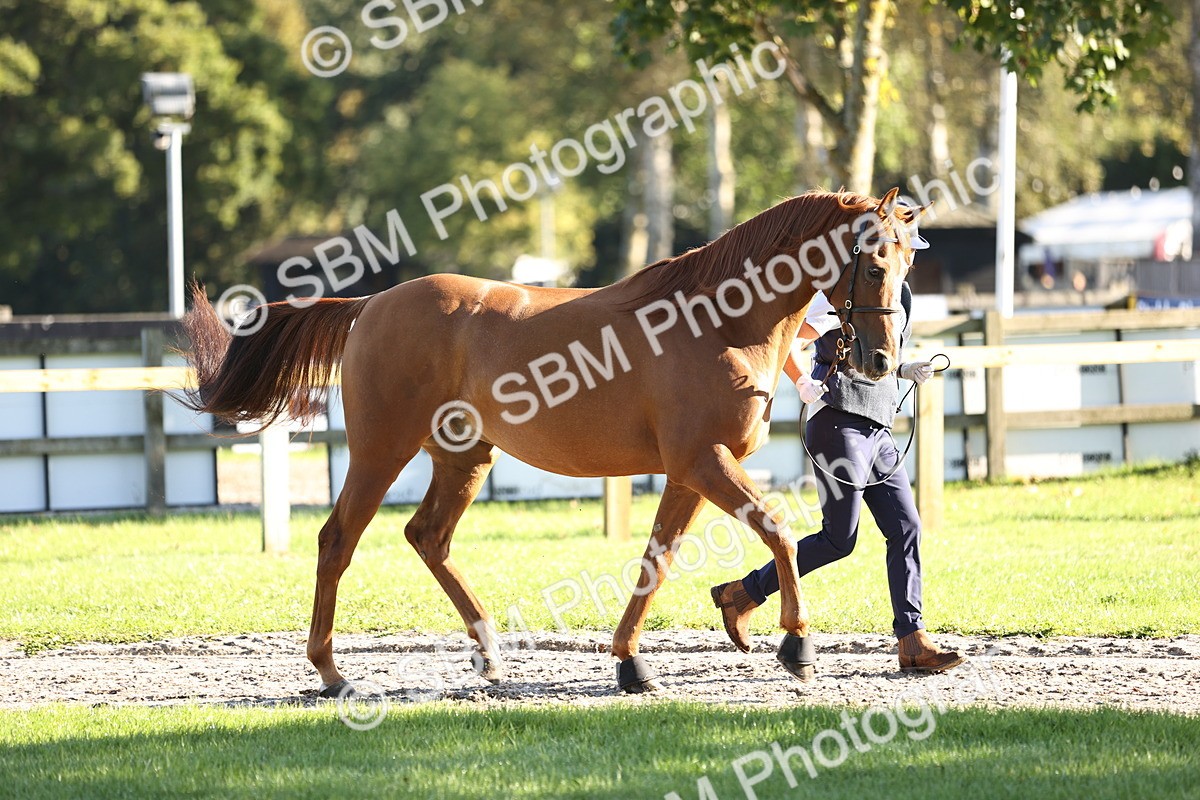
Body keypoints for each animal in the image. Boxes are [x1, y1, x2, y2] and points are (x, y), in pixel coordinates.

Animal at [180, 187, 923, 696]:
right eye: (873, 265)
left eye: (907, 263)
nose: (882, 360)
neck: (718, 323)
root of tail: (372, 305)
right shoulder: (702, 462)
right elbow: (776, 531)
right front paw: (797, 648)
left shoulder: (689, 473)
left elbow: (656, 561)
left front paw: (633, 664)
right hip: (380, 451)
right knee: (338, 540)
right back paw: (332, 673)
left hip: (465, 457)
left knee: (428, 538)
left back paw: (488, 653)